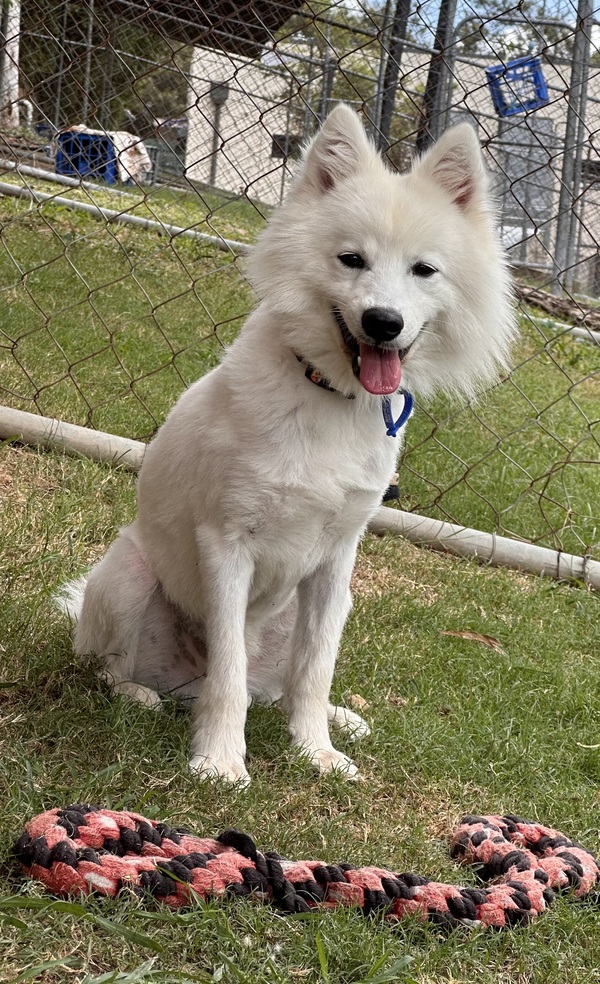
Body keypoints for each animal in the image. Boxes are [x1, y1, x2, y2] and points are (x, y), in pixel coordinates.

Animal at [58, 105, 515, 785]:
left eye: (423, 270)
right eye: (351, 259)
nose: (384, 322)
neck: (328, 394)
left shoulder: (335, 563)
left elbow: (314, 667)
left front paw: (314, 750)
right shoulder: (227, 546)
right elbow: (228, 672)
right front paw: (220, 760)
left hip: (327, 604)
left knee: (278, 686)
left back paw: (334, 718)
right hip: (126, 576)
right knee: (120, 669)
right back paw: (139, 693)